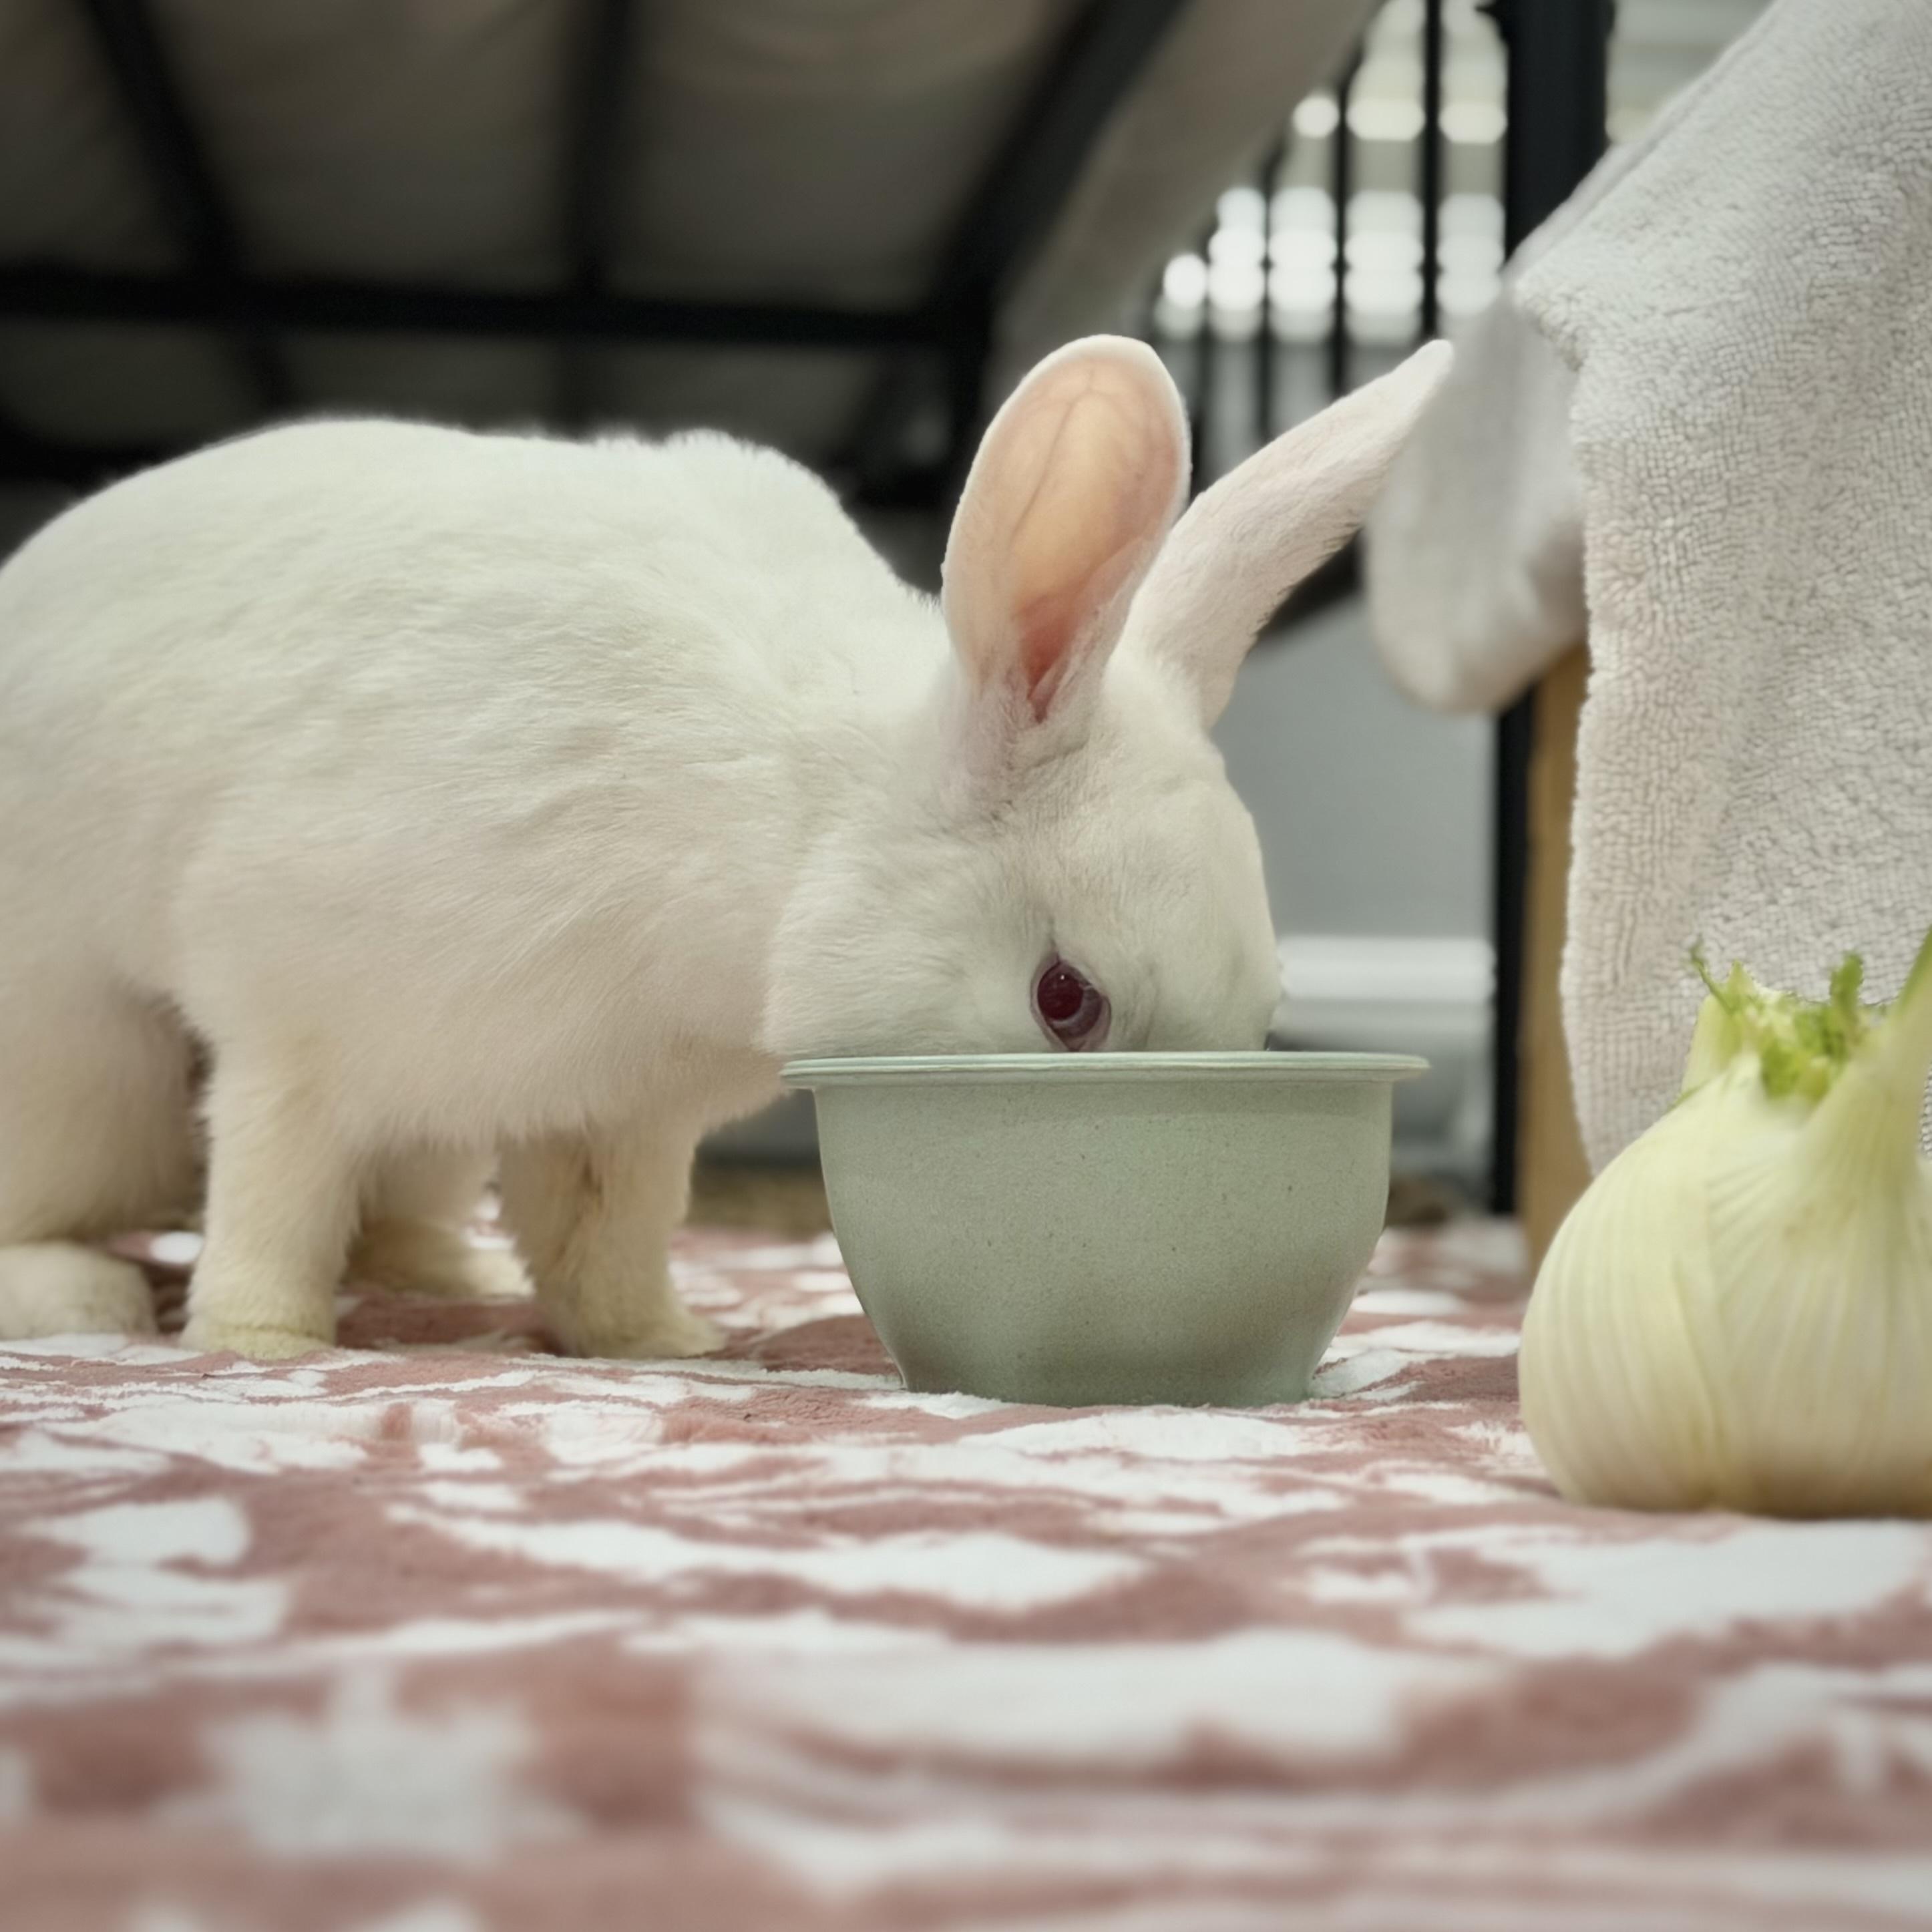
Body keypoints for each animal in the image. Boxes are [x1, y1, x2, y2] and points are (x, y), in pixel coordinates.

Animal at [0, 333, 1451, 1360]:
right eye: (1063, 1000)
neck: (785, 820)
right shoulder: (294, 1025)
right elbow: (272, 1190)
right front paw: (262, 1345)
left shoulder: (618, 1106)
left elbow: (607, 1240)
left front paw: (672, 1346)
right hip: (86, 1076)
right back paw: (87, 1299)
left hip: (420, 1133)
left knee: (406, 1199)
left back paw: (439, 1271)